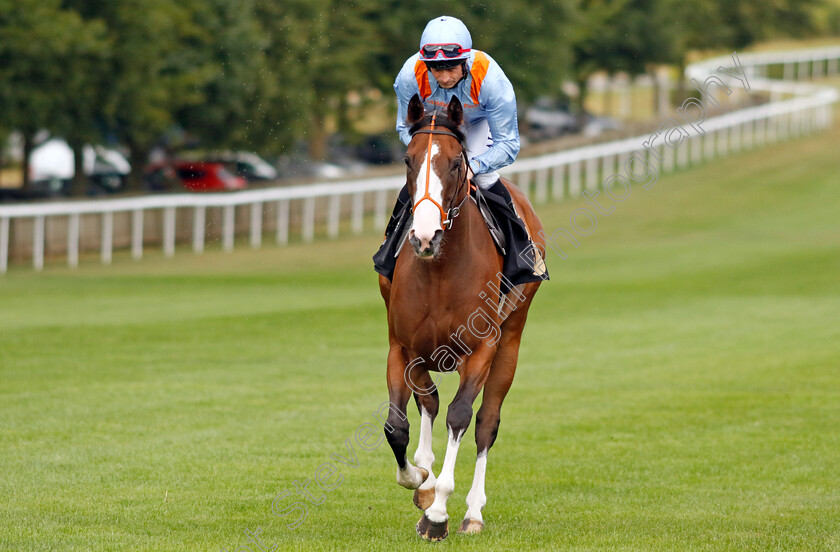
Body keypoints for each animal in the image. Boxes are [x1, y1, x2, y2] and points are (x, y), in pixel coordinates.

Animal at [378, 94, 548, 540]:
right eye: (408, 159)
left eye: (456, 163)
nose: (424, 237)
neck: (440, 269)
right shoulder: (402, 347)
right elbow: (398, 425)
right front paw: (420, 480)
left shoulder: (481, 349)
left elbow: (460, 415)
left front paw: (438, 514)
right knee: (429, 401)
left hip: (511, 340)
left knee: (487, 422)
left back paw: (472, 512)